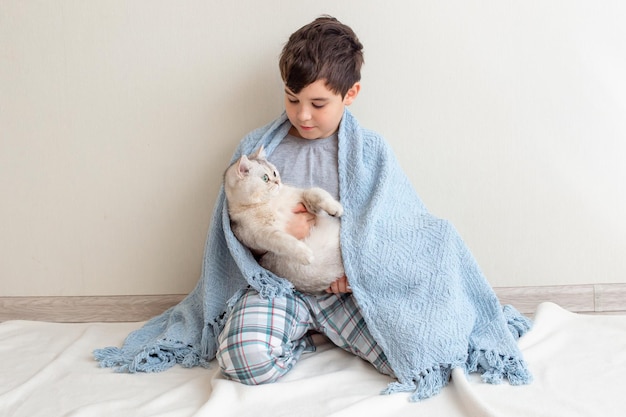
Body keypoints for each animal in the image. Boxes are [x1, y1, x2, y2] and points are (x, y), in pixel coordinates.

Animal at [223, 146, 344, 292]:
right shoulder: (261, 234)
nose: (278, 182)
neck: (271, 202)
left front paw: (335, 207)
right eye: (265, 178)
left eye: (275, 173)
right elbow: (286, 242)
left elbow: (316, 192)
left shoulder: (303, 199)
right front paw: (305, 254)